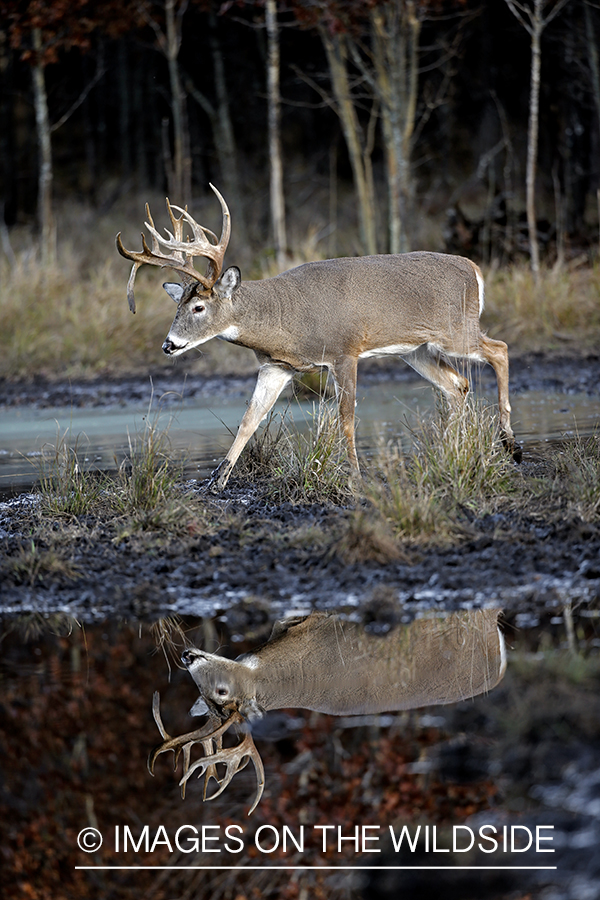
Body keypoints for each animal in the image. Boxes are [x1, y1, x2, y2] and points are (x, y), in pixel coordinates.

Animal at [116, 185, 516, 492]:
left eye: (199, 307)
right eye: (177, 305)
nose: (169, 345)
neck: (284, 319)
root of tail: (474, 268)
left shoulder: (344, 352)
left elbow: (346, 420)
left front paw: (355, 477)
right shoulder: (277, 366)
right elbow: (249, 419)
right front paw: (218, 480)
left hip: (456, 331)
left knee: (500, 350)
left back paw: (510, 443)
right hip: (417, 351)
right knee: (458, 385)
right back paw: (451, 450)